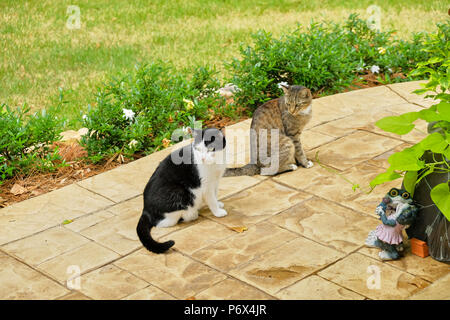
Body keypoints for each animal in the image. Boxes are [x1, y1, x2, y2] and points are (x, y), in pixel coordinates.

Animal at [136, 126, 229, 254]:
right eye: (198, 149)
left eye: (211, 149)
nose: (203, 158)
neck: (215, 163)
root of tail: (145, 209)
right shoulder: (206, 185)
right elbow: (211, 199)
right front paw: (218, 212)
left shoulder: (215, 180)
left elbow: (215, 194)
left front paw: (218, 204)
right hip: (180, 192)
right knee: (163, 222)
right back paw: (191, 214)